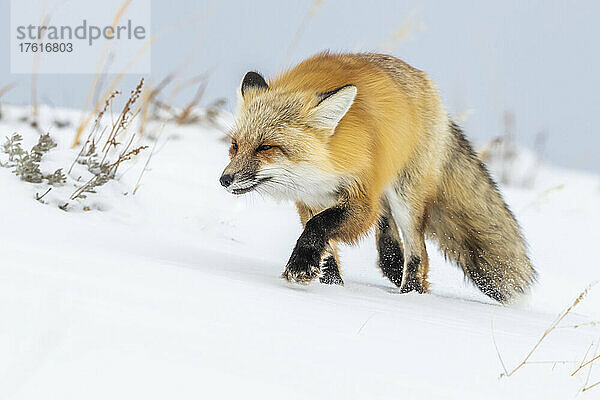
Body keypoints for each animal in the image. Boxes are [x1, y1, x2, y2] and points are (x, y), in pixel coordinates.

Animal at [221, 52, 540, 304]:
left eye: (266, 147)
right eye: (235, 145)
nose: (225, 179)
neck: (322, 169)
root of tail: (426, 83)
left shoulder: (361, 198)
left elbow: (318, 226)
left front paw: (301, 265)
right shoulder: (309, 199)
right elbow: (327, 249)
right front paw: (332, 287)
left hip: (405, 197)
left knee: (418, 253)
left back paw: (411, 295)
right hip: (386, 193)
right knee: (387, 236)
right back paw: (396, 270)